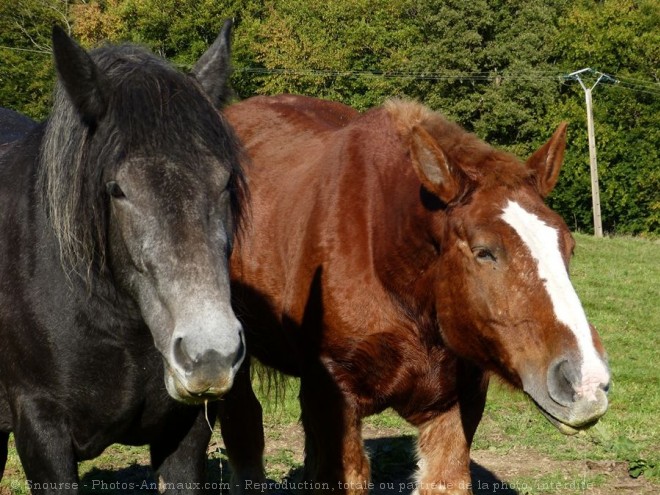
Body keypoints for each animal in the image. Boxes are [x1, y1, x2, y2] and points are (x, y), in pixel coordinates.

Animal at [219, 95, 612, 494]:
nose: (585, 382)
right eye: (484, 251)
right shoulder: (333, 396)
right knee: (245, 430)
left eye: (569, 246)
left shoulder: (457, 406)